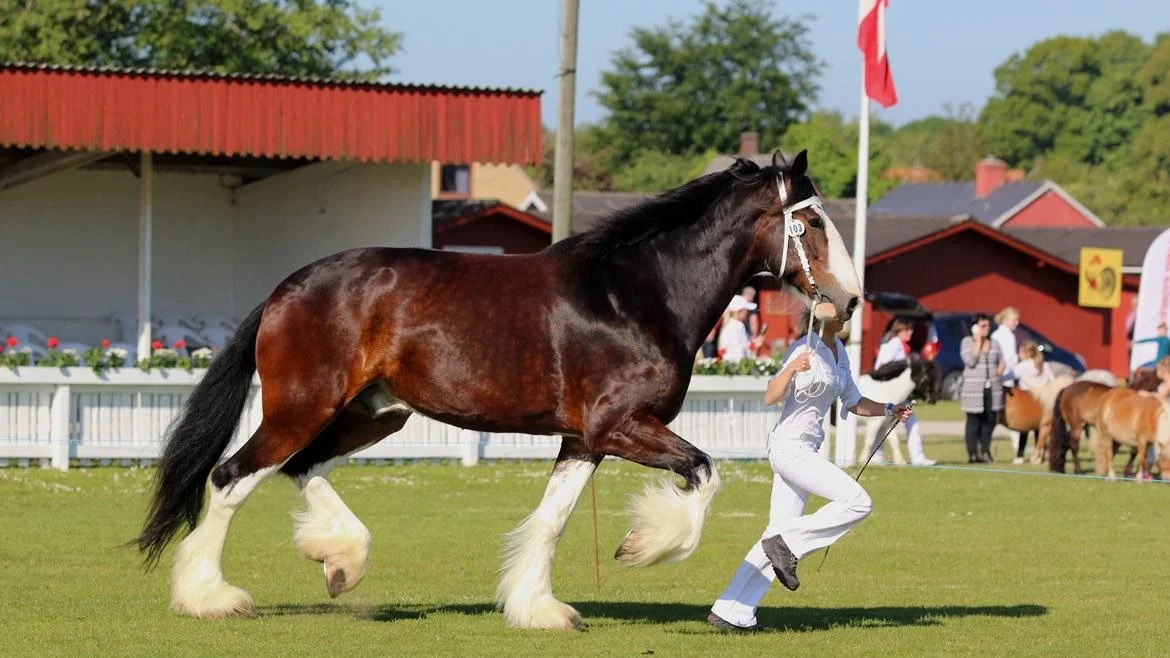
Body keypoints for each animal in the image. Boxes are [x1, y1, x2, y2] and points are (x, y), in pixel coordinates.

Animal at [134, 151, 870, 627]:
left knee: (301, 467)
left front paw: (539, 608)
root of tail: (287, 288)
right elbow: (704, 472)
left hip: (374, 414)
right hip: (303, 406)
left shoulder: (583, 439)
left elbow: (553, 519)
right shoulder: (617, 426)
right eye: (810, 223)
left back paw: (339, 561)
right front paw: (643, 547)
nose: (851, 299)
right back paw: (211, 597)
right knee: (232, 476)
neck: (639, 293)